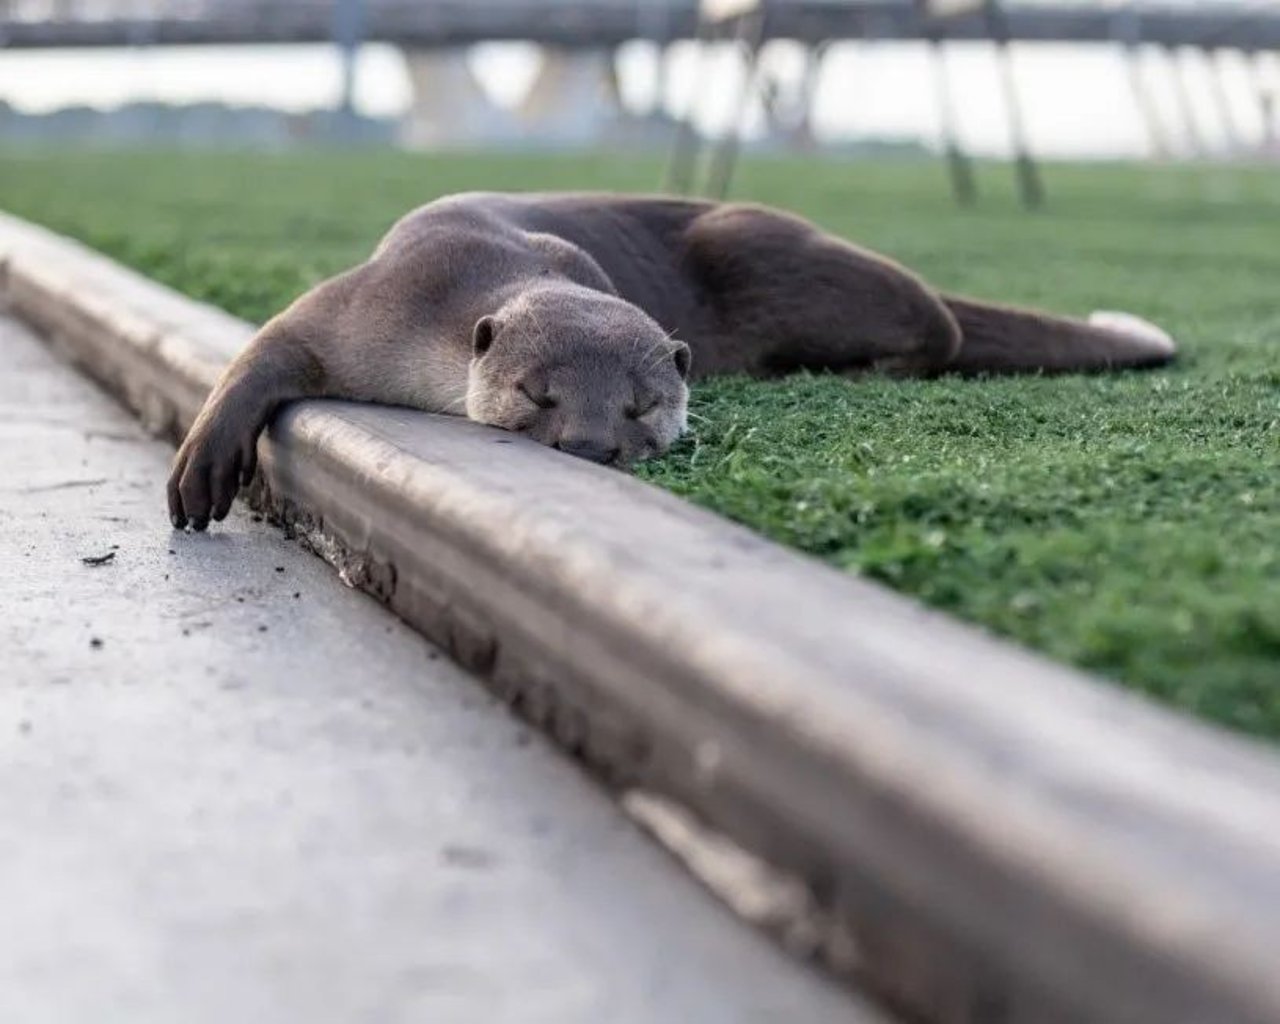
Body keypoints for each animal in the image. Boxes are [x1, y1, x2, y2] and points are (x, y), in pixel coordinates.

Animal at [165, 192, 1172, 532]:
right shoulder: (369, 302)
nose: (591, 448)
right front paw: (204, 462)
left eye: (643, 405)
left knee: (942, 333)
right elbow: (264, 350)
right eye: (536, 394)